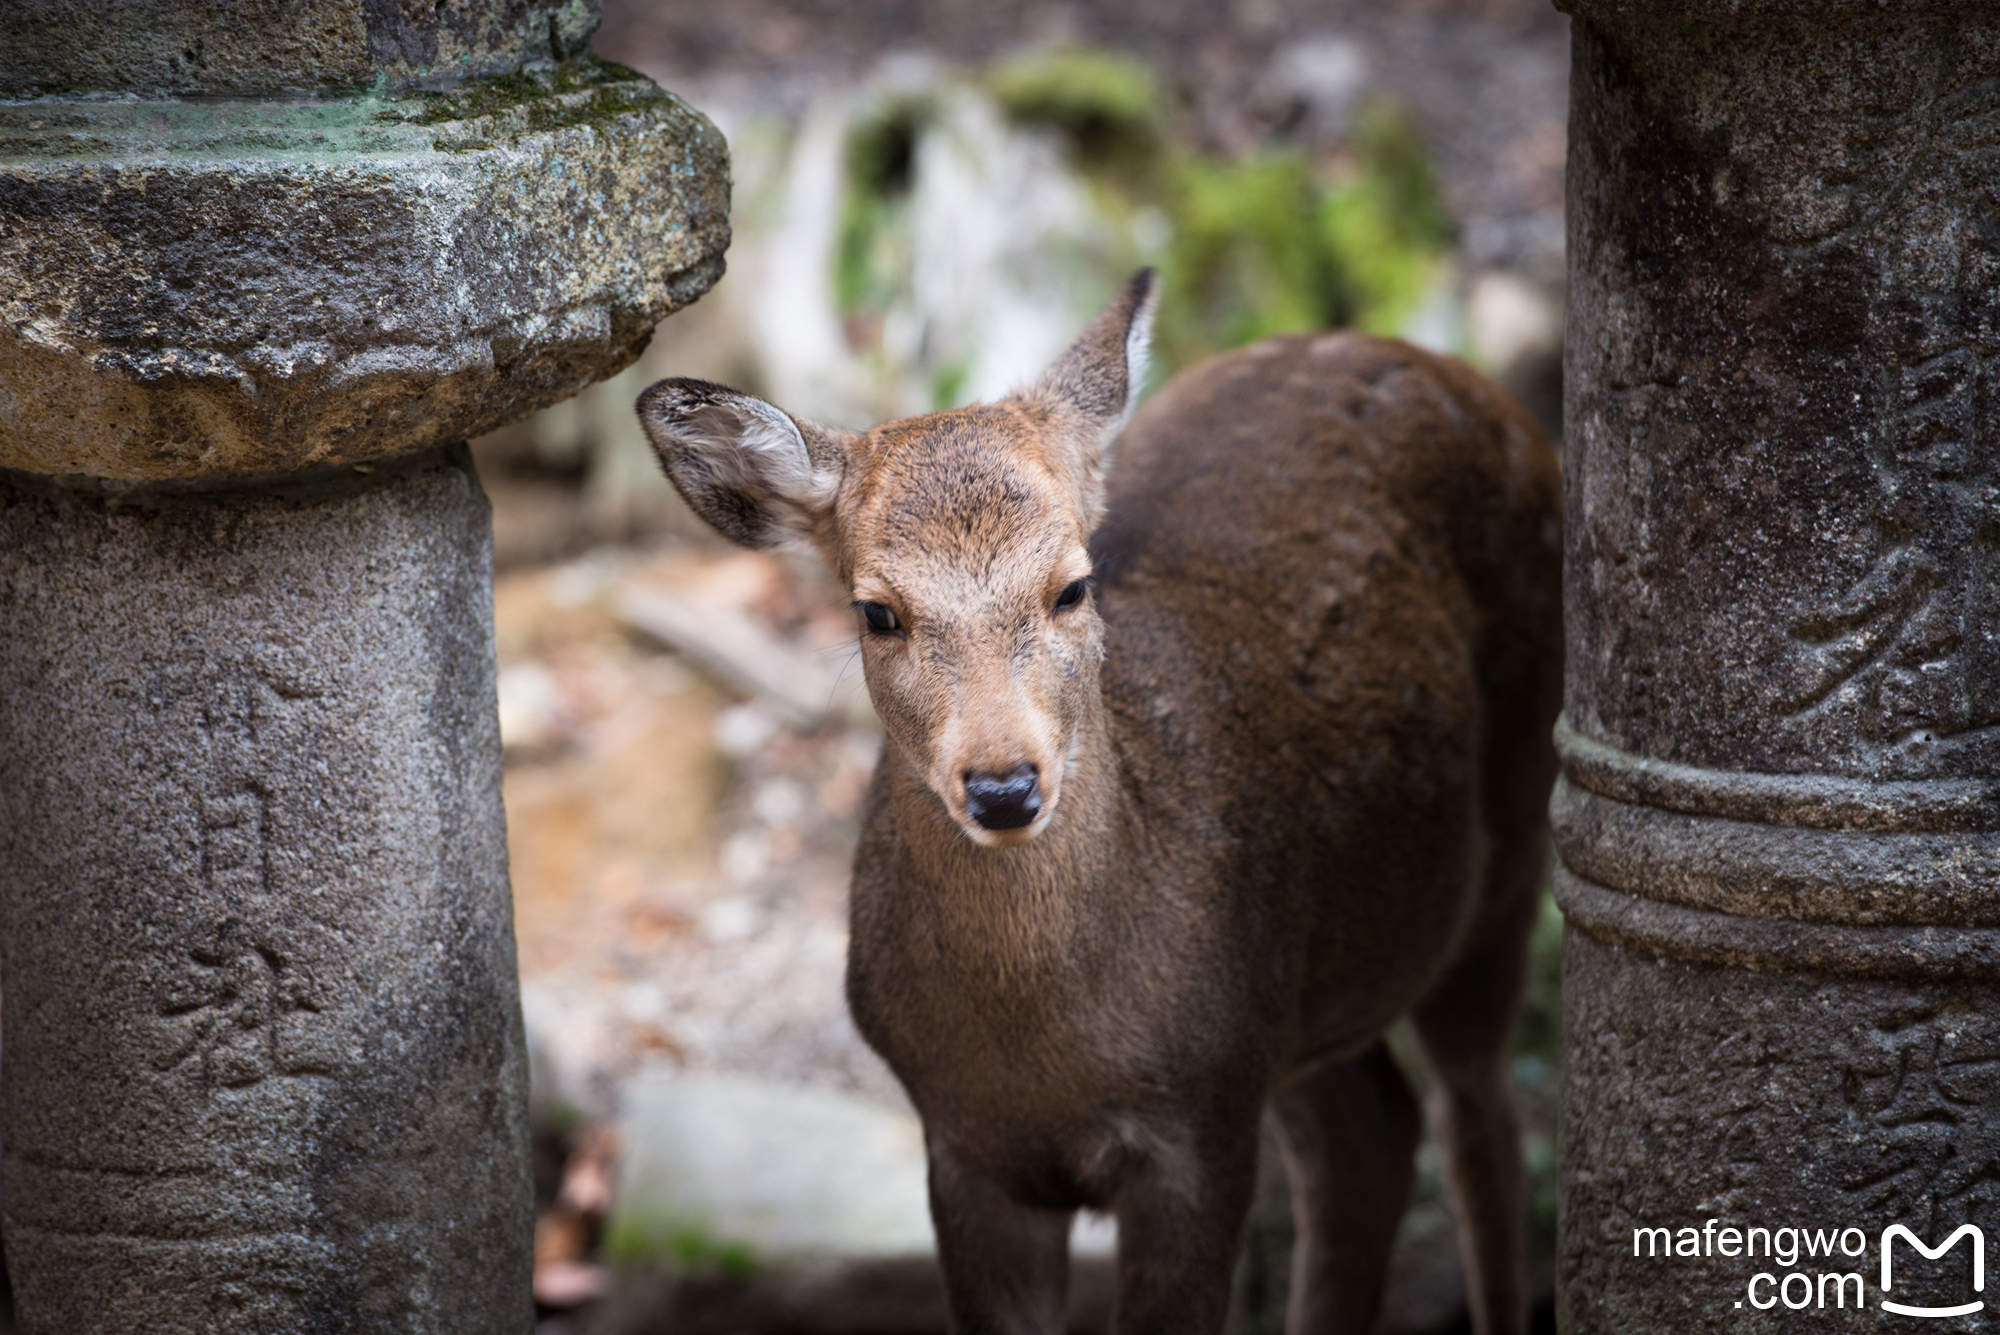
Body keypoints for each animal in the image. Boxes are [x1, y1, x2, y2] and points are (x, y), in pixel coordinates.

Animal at [640, 273, 1560, 1335]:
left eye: (1073, 585)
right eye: (878, 611)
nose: (1004, 784)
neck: (1055, 1050)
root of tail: (1441, 365)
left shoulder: (1199, 1123)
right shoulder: (967, 1143)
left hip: (1514, 834)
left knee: (1479, 1117)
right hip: (1302, 999)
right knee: (1371, 1130)